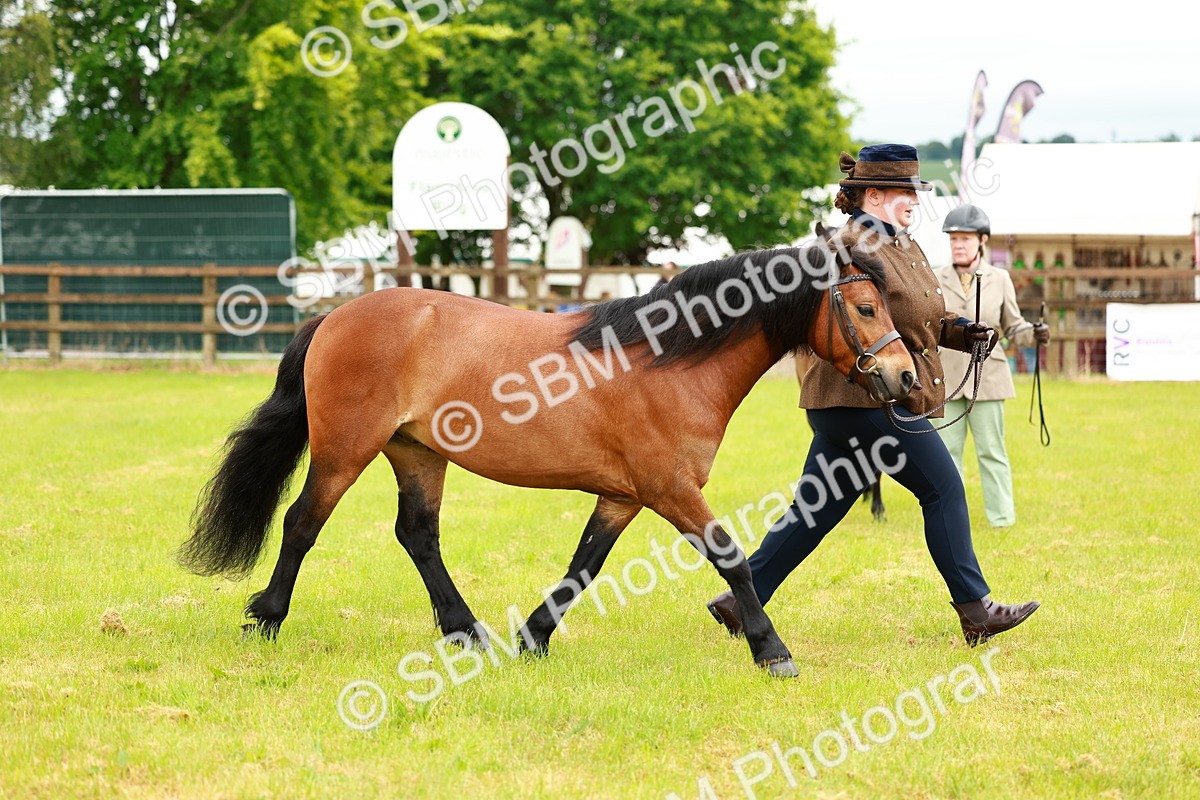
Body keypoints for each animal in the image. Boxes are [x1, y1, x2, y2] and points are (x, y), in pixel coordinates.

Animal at [179, 245, 916, 677]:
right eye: (865, 305)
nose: (906, 377)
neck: (670, 361)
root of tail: (333, 318)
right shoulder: (670, 489)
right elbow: (731, 558)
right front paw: (772, 650)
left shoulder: (624, 496)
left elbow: (583, 567)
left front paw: (533, 638)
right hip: (345, 450)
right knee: (303, 523)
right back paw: (266, 618)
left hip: (417, 452)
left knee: (417, 534)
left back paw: (467, 632)